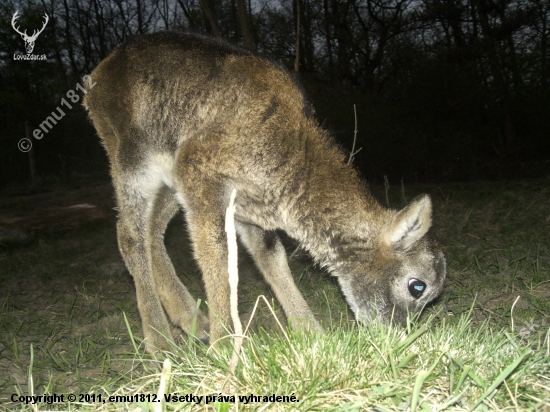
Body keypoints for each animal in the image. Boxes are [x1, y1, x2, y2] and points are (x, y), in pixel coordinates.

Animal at [85, 31, 448, 354]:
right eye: (417, 286)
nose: (398, 338)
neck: (293, 158)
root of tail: (98, 74)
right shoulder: (199, 173)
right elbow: (218, 256)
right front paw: (225, 349)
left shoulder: (249, 210)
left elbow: (271, 259)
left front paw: (312, 333)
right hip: (132, 157)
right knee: (129, 235)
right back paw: (160, 341)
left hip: (169, 184)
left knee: (152, 231)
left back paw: (193, 323)